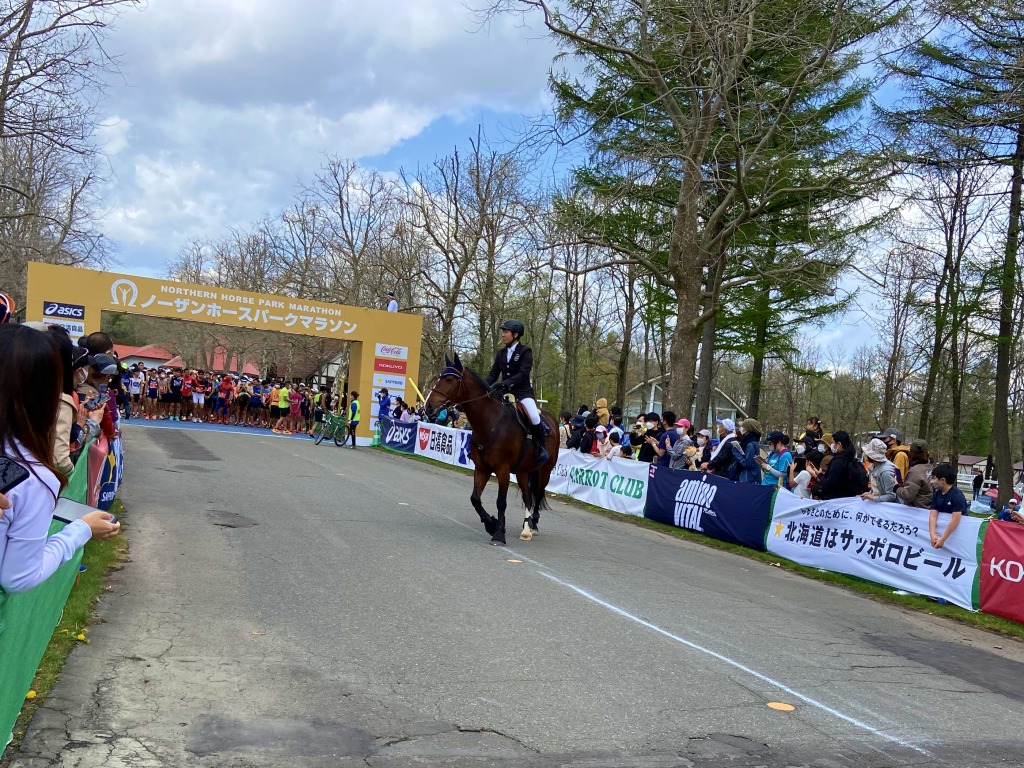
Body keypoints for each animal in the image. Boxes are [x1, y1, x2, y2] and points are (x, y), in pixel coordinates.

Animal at [425, 354, 561, 548]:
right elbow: (475, 498)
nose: (428, 406)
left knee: (538, 494)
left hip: (544, 472)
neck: (491, 423)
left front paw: (498, 533)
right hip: (523, 472)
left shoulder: (502, 470)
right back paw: (525, 528)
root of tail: (551, 419)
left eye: (449, 379)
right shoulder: (482, 468)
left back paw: (532, 525)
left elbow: (501, 502)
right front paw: (491, 524)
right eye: (439, 377)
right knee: (528, 497)